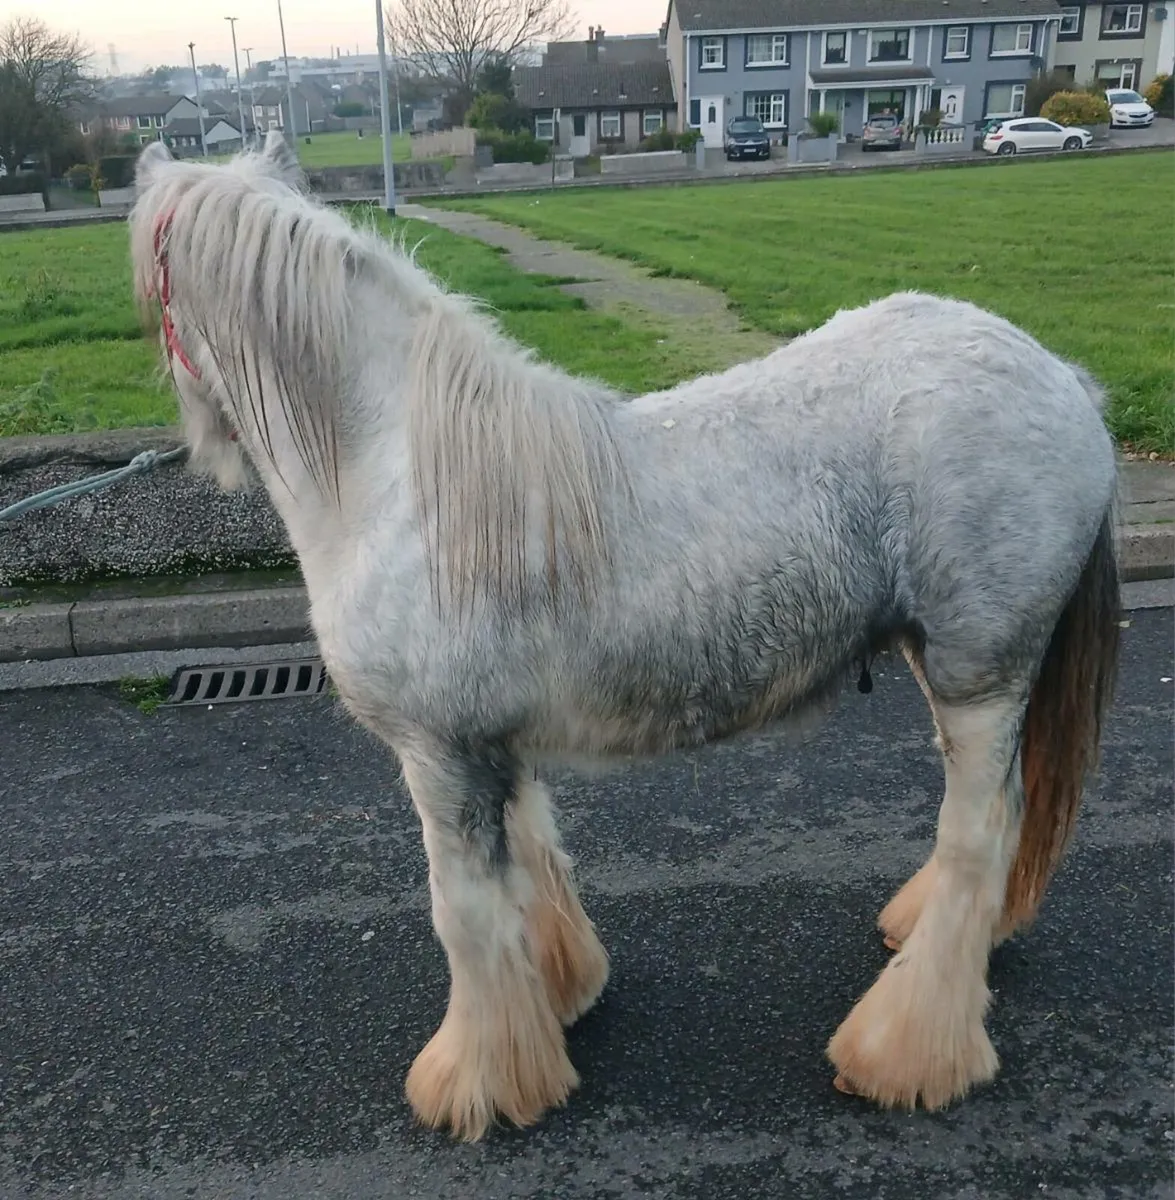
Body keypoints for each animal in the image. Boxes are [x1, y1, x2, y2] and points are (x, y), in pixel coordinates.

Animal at [128, 132, 1121, 1142]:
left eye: (154, 282)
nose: (199, 436)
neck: (401, 472)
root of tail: (1062, 381)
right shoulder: (490, 747)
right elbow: (529, 863)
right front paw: (557, 997)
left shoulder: (437, 755)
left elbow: (463, 914)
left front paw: (477, 1082)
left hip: (979, 674)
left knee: (978, 836)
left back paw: (903, 1053)